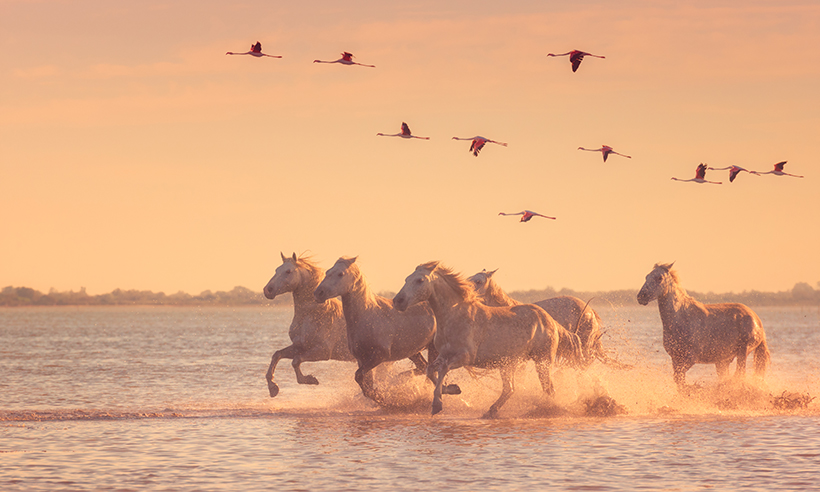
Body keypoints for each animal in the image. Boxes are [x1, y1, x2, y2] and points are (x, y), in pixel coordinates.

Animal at [262, 254, 352, 396]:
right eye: (276, 269)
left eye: (288, 271)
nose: (267, 290)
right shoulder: (300, 346)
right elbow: (277, 355)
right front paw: (273, 388)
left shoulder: (323, 351)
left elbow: (296, 361)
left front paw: (310, 379)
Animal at [636, 264, 768, 390]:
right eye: (646, 277)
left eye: (659, 278)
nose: (641, 297)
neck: (681, 317)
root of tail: (756, 320)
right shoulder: (675, 358)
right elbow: (679, 381)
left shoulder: (690, 358)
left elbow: (679, 378)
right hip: (723, 361)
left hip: (743, 351)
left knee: (739, 375)